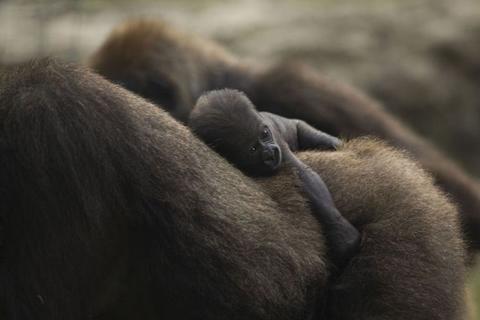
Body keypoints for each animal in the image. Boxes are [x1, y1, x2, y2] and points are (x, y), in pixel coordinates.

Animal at [189, 89, 362, 270]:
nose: (270, 152)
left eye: (264, 134)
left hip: (296, 126)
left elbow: (305, 176)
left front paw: (343, 236)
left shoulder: (277, 141)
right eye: (253, 148)